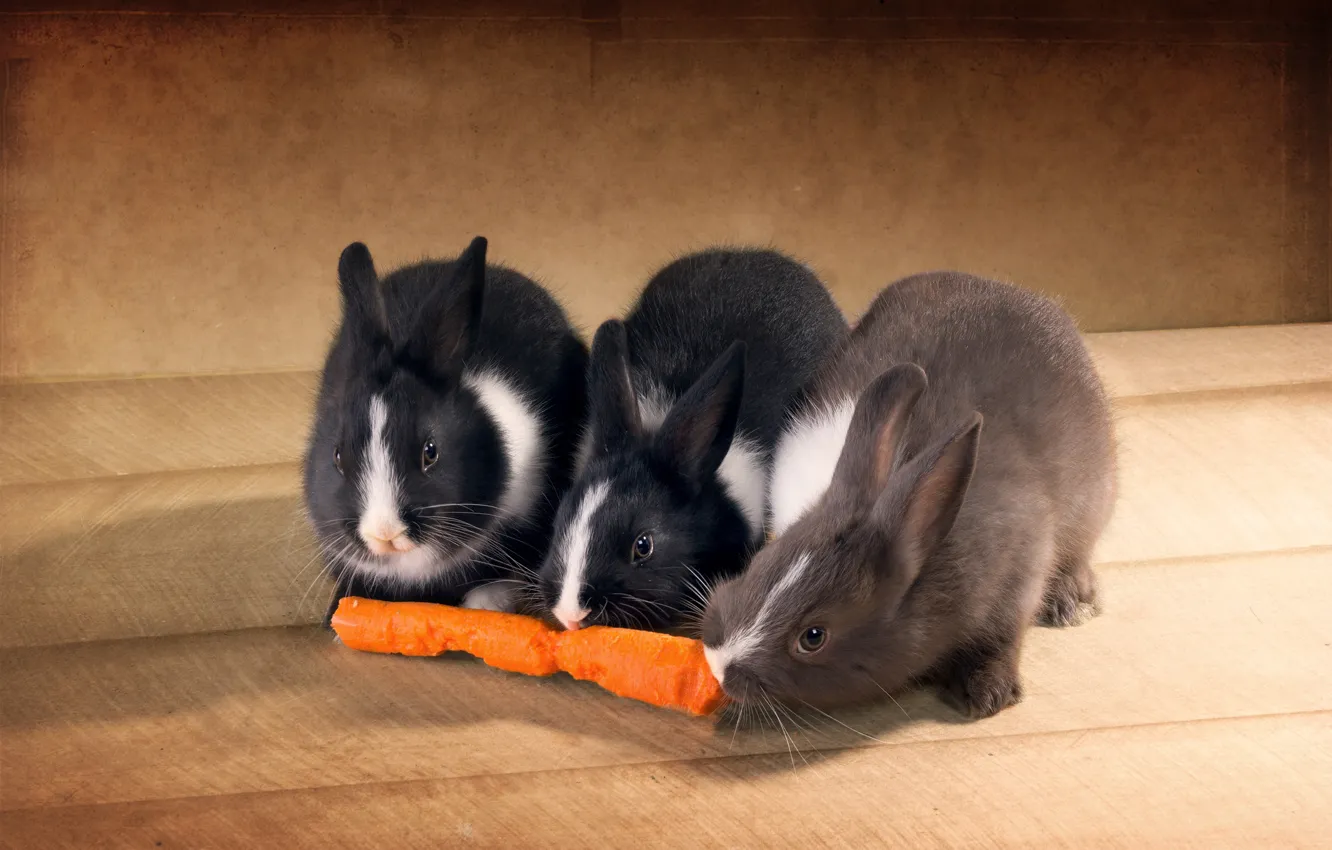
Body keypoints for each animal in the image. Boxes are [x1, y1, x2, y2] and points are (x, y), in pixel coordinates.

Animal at [701, 272, 1116, 719]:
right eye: (759, 565)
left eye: (813, 636)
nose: (718, 664)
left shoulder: (1020, 578)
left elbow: (1002, 638)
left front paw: (985, 695)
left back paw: (1073, 603)